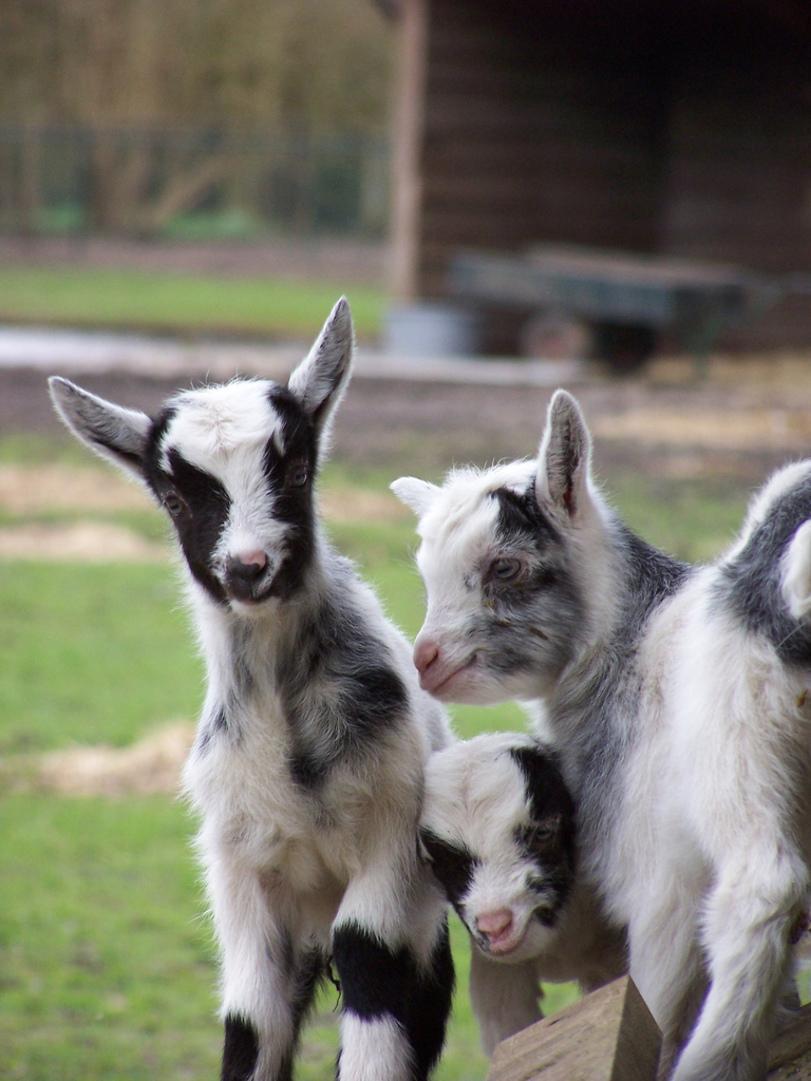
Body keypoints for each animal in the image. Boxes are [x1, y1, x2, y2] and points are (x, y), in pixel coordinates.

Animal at [49, 298, 454, 1081]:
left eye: (296, 468)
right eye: (174, 496)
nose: (248, 567)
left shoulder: (391, 843)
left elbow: (374, 976)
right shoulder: (239, 872)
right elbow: (248, 1023)